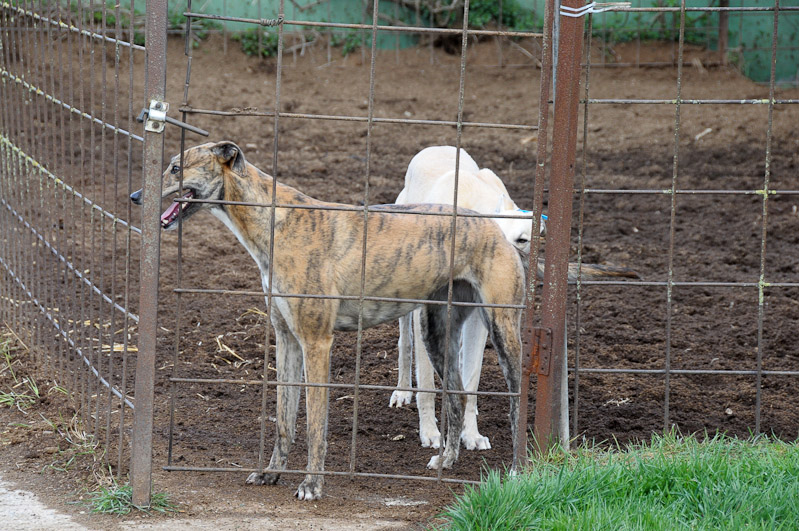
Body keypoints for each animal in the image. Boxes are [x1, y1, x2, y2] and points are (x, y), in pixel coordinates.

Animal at [130, 141, 526, 501]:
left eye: (176, 168)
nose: (135, 196)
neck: (275, 219)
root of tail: (494, 229)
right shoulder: (287, 339)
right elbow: (284, 419)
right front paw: (271, 473)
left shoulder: (316, 342)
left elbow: (314, 426)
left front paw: (311, 485)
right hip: (436, 330)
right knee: (458, 394)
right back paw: (446, 459)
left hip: (503, 329)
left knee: (515, 401)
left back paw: (518, 470)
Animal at [389, 145, 639, 452]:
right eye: (493, 234)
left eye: (522, 240)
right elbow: (426, 384)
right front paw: (430, 433)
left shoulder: (480, 322)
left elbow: (471, 380)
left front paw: (470, 434)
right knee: (405, 343)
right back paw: (402, 391)